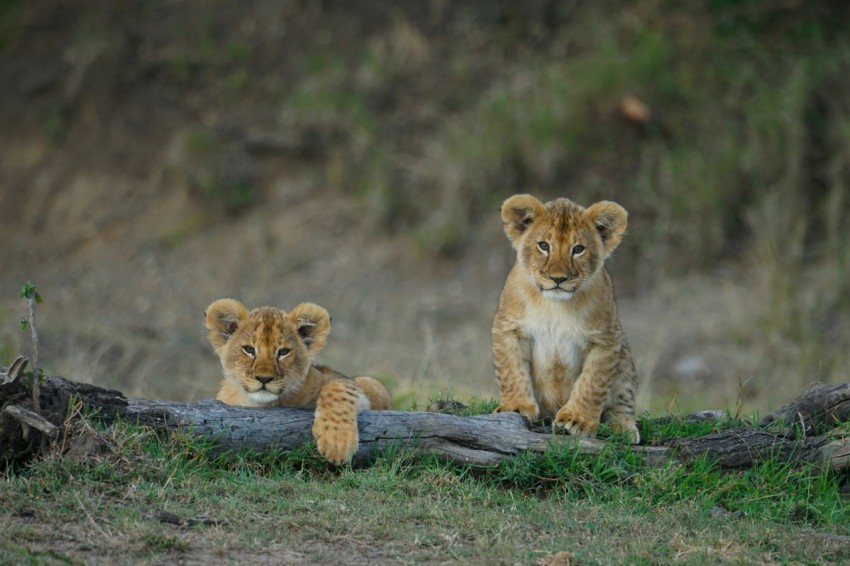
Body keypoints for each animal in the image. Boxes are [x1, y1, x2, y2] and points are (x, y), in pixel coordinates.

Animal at [205, 298, 391, 464]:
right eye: (249, 349)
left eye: (283, 352)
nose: (264, 378)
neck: (262, 405)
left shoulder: (356, 385)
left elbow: (339, 388)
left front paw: (337, 443)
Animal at [492, 194, 640, 443]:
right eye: (544, 246)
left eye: (578, 249)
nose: (558, 278)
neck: (555, 306)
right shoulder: (508, 328)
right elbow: (511, 371)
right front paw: (516, 406)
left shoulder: (606, 339)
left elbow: (592, 383)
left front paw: (578, 420)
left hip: (625, 355)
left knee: (623, 402)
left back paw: (623, 428)